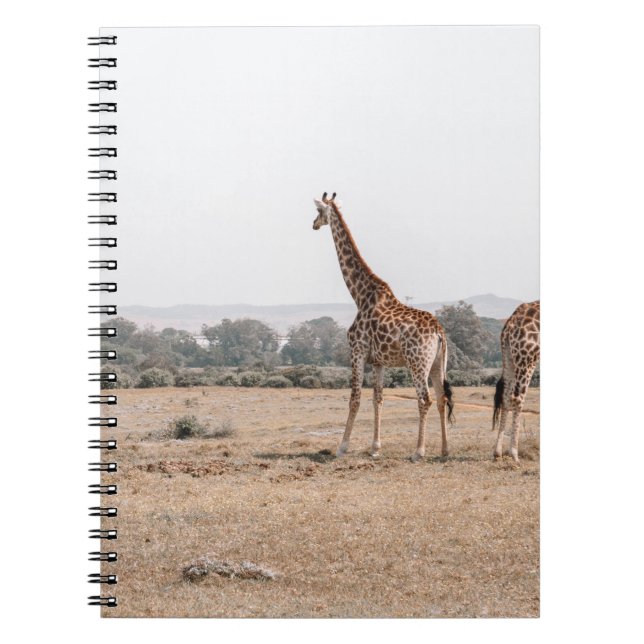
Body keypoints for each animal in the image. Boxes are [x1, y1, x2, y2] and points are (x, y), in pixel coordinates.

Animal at [312, 193, 454, 462]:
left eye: (318, 211)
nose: (313, 224)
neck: (359, 294)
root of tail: (439, 332)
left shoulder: (356, 351)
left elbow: (355, 398)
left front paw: (342, 447)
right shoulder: (378, 361)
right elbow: (377, 398)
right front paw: (375, 448)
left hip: (417, 363)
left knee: (425, 399)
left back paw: (418, 452)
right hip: (438, 363)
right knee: (442, 398)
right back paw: (444, 450)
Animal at [493, 300, 540, 462]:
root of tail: (511, 323)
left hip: (509, 356)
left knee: (506, 396)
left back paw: (498, 452)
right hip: (527, 359)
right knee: (517, 397)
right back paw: (514, 453)